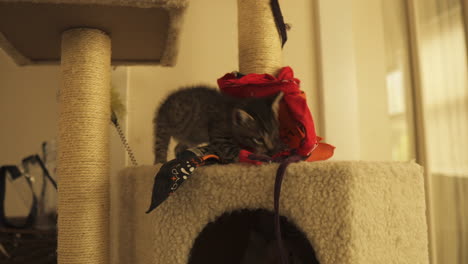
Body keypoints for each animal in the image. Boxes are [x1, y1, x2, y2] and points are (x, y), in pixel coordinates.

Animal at [154, 85, 286, 164]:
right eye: (258, 139)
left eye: (274, 135)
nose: (270, 150)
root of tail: (164, 103)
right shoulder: (219, 136)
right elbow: (235, 151)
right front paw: (258, 157)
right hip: (165, 126)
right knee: (160, 146)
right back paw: (159, 163)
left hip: (191, 136)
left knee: (179, 146)